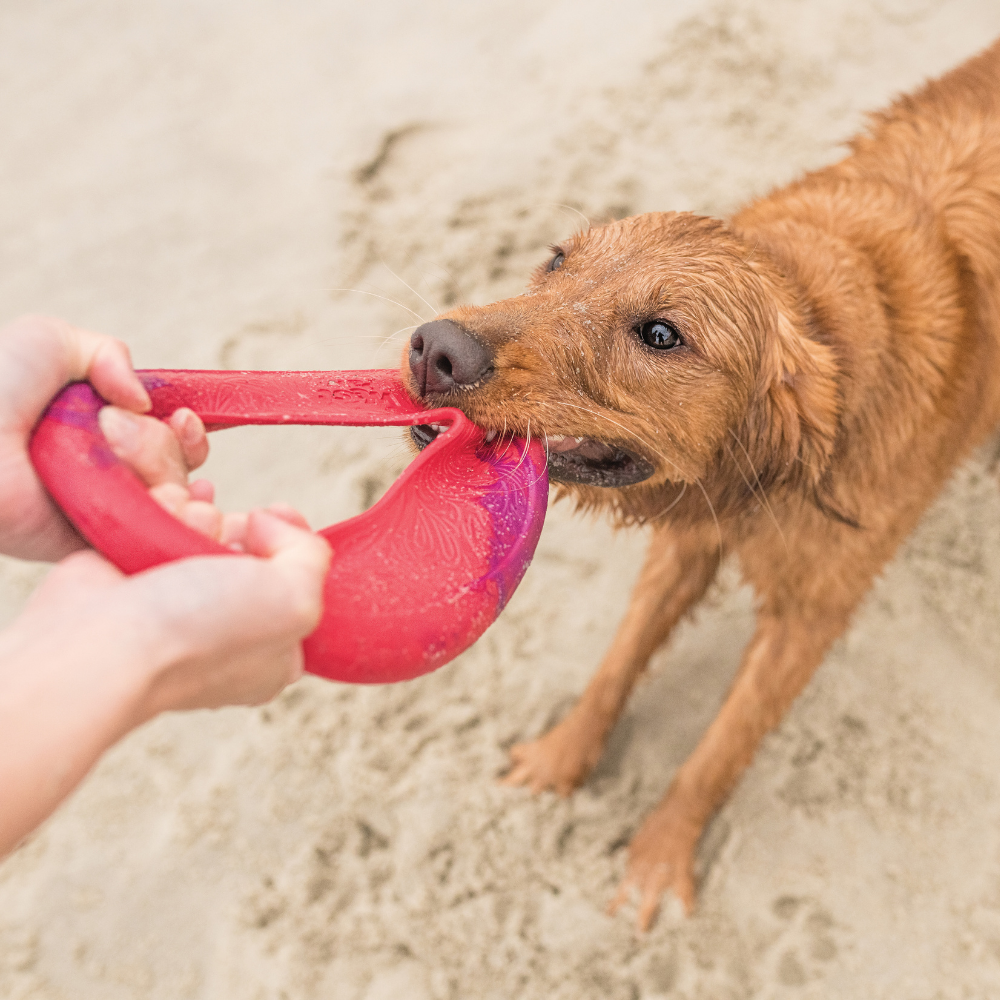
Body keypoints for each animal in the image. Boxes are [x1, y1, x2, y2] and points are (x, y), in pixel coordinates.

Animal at [400, 39, 1000, 928]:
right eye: (556, 260)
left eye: (661, 335)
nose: (437, 348)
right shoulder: (689, 537)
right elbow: (619, 660)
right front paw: (561, 757)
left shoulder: (812, 611)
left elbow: (721, 745)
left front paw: (658, 856)